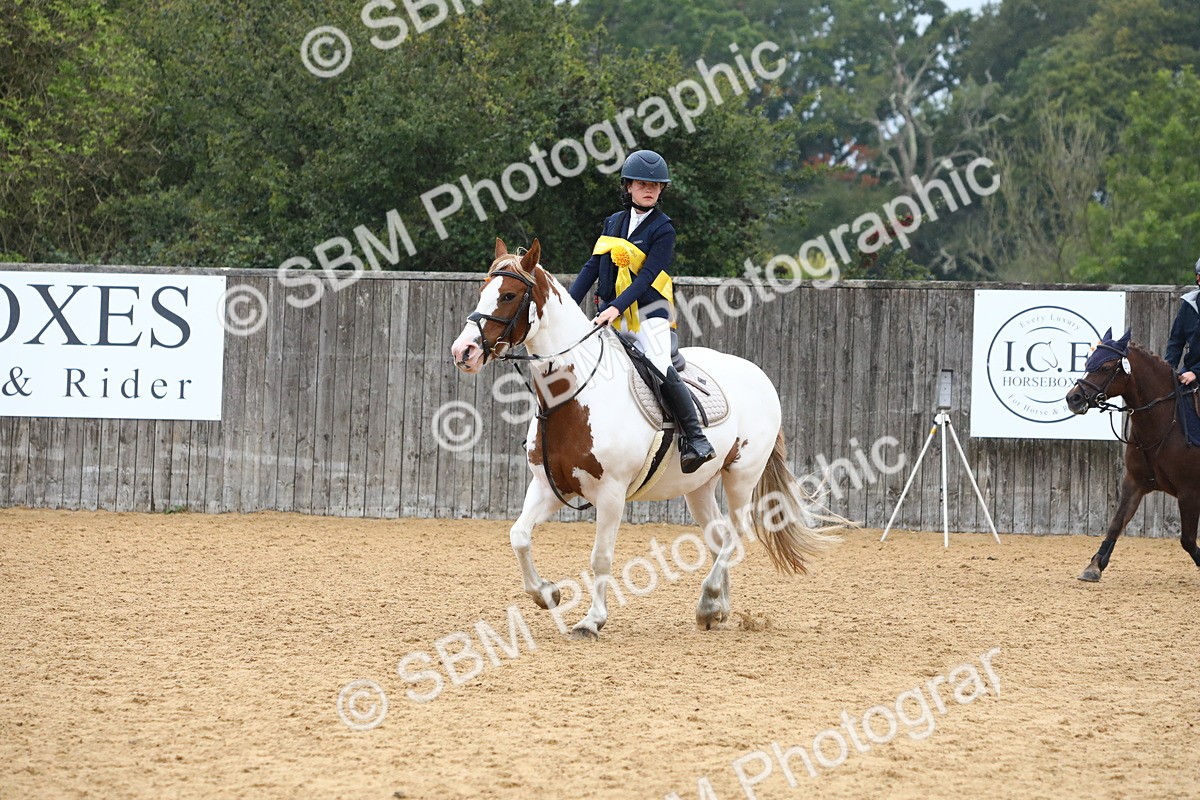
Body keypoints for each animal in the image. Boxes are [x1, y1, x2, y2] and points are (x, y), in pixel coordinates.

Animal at [449, 239, 840, 638]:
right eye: (482, 291)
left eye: (509, 295)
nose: (463, 352)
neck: (574, 396)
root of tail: (759, 375)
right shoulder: (549, 486)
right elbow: (519, 536)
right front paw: (547, 594)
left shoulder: (610, 494)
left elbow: (601, 557)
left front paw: (592, 620)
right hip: (698, 484)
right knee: (718, 538)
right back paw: (717, 608)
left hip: (741, 476)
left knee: (735, 534)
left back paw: (709, 600)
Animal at [1064, 328, 1200, 581]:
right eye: (1087, 363)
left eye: (1106, 367)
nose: (1073, 399)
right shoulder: (1134, 482)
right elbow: (1116, 524)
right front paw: (1094, 566)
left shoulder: (1190, 492)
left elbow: (1187, 540)